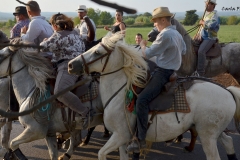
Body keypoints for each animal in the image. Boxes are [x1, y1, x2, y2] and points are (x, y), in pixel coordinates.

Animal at [68, 32, 240, 160]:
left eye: (97, 52)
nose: (71, 65)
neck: (119, 93)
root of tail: (227, 91)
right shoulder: (122, 140)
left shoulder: (119, 136)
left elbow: (101, 153)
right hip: (214, 131)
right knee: (229, 142)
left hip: (207, 135)